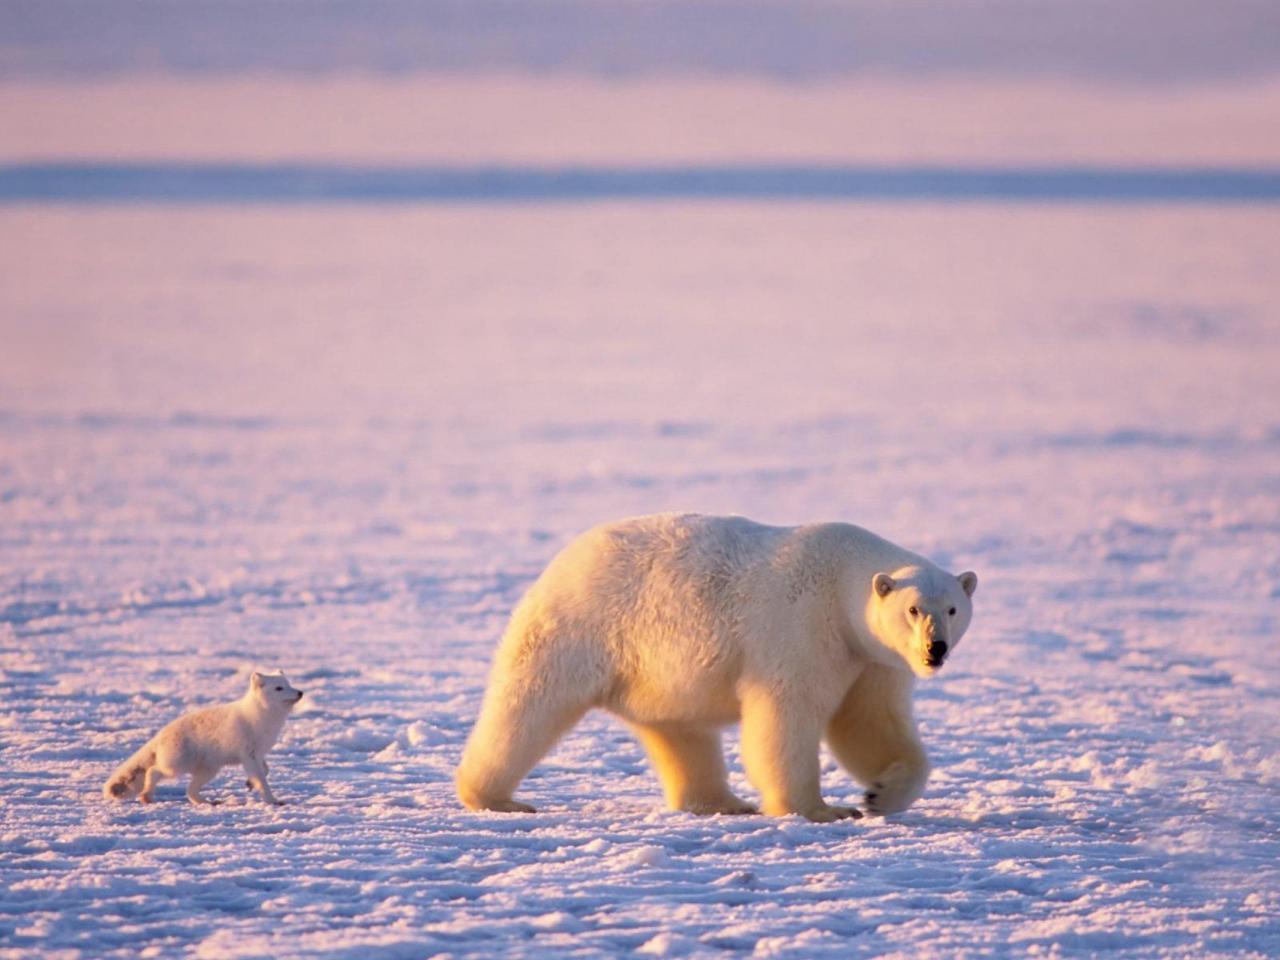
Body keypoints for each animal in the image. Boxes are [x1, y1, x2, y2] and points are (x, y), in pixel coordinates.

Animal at [103, 670, 303, 808]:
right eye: (279, 688)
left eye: (289, 684)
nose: (300, 692)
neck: (261, 717)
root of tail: (161, 734)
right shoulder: (249, 754)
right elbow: (262, 779)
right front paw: (272, 800)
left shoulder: (258, 753)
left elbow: (265, 770)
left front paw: (249, 783)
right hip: (177, 765)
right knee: (153, 771)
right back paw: (146, 796)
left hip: (209, 770)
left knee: (189, 790)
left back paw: (207, 802)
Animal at [455, 514, 972, 824]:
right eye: (913, 609)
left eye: (952, 608)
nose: (935, 649)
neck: (841, 579)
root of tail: (564, 559)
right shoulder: (801, 628)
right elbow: (786, 716)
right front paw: (822, 809)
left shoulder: (871, 658)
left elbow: (869, 722)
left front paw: (880, 794)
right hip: (582, 628)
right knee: (530, 705)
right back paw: (495, 797)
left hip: (656, 673)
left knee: (681, 732)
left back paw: (722, 802)